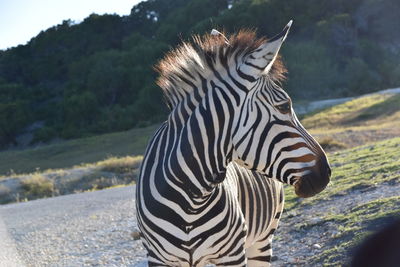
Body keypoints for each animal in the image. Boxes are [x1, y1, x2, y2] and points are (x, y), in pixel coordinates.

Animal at [136, 21, 330, 267]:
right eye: (285, 106)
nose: (327, 172)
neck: (190, 201)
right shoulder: (158, 258)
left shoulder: (233, 254)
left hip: (262, 239)